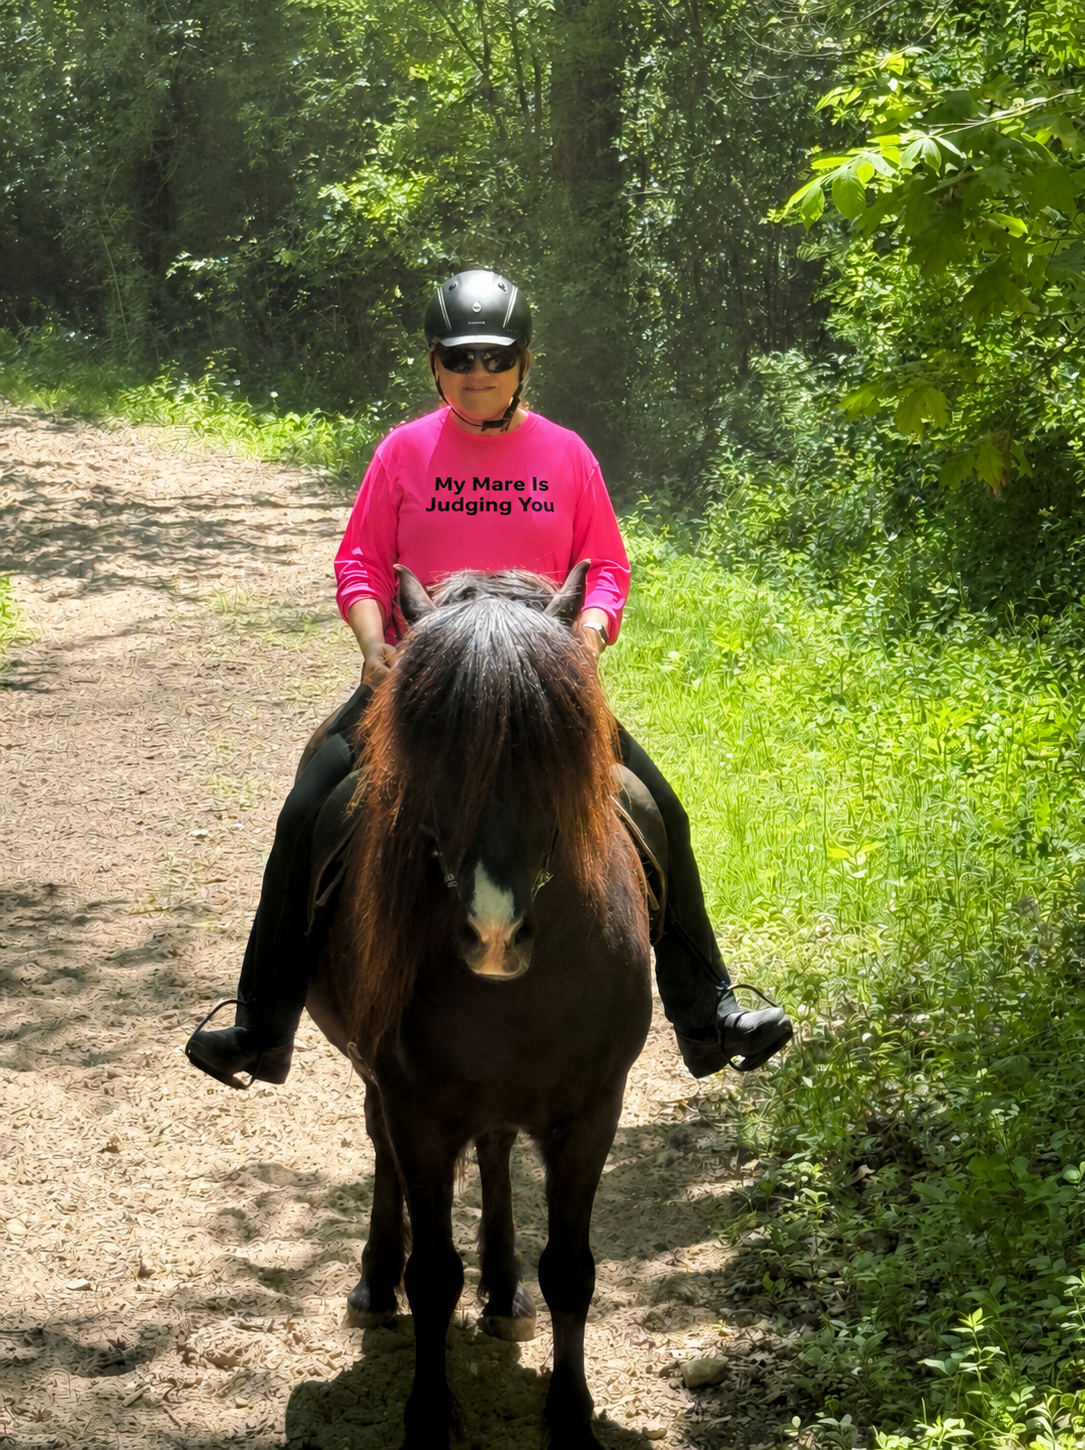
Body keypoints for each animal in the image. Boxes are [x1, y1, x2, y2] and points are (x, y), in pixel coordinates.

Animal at [304, 563, 653, 1450]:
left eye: (553, 754)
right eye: (434, 757)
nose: (493, 931)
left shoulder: (592, 1111)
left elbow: (571, 1270)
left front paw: (570, 1415)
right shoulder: (417, 1108)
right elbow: (432, 1273)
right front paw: (429, 1415)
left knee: (495, 1154)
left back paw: (503, 1290)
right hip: (381, 1085)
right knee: (384, 1153)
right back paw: (374, 1286)